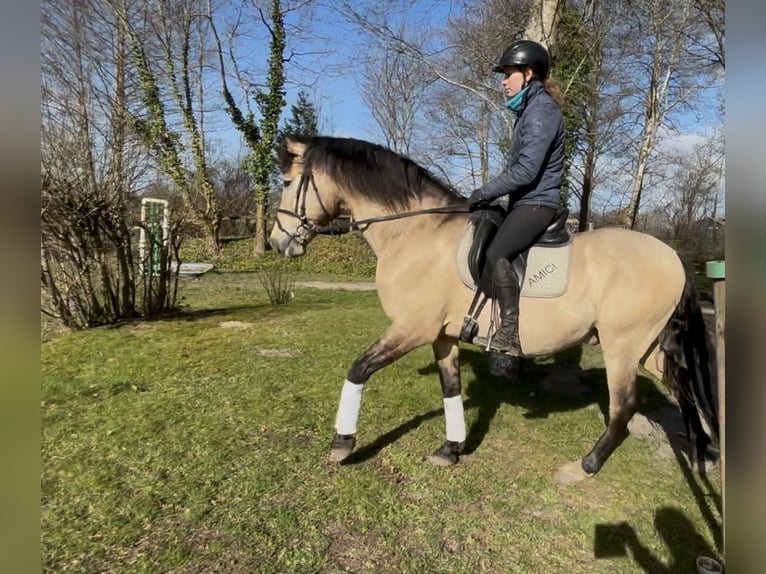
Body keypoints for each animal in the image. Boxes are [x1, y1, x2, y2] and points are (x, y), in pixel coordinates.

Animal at [269, 134, 719, 476]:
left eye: (288, 182)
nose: (277, 242)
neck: (415, 231)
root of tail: (672, 254)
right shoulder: (441, 335)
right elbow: (450, 388)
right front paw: (451, 449)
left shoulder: (411, 328)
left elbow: (358, 369)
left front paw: (342, 443)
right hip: (647, 347)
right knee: (681, 385)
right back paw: (703, 454)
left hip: (621, 346)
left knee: (624, 406)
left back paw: (589, 463)